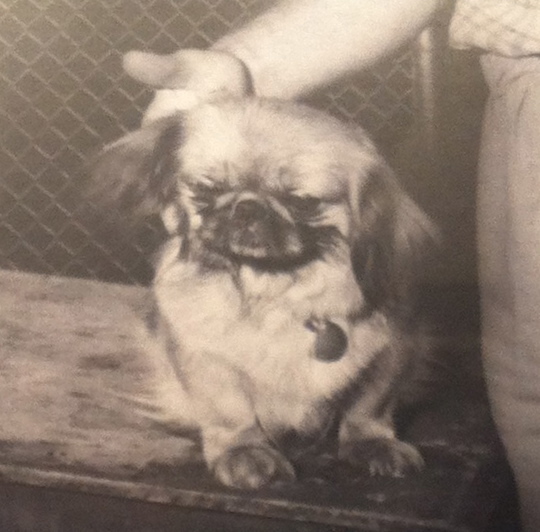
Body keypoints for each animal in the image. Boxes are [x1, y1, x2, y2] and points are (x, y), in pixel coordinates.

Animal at [91, 50, 437, 490]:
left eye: (302, 202)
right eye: (207, 189)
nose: (247, 208)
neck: (278, 296)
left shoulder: (395, 347)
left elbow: (370, 406)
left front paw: (373, 443)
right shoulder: (204, 356)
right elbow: (230, 411)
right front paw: (244, 451)